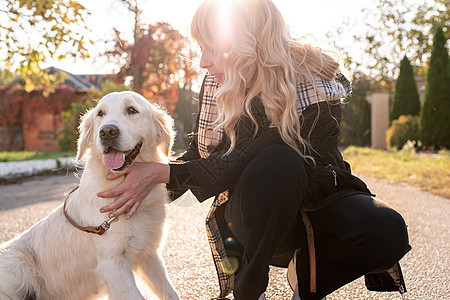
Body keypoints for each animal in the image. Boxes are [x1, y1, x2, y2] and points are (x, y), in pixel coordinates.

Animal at [0, 92, 179, 300]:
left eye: (132, 110)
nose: (107, 132)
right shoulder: (113, 265)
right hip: (18, 260)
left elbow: (171, 293)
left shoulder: (149, 254)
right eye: (100, 113)